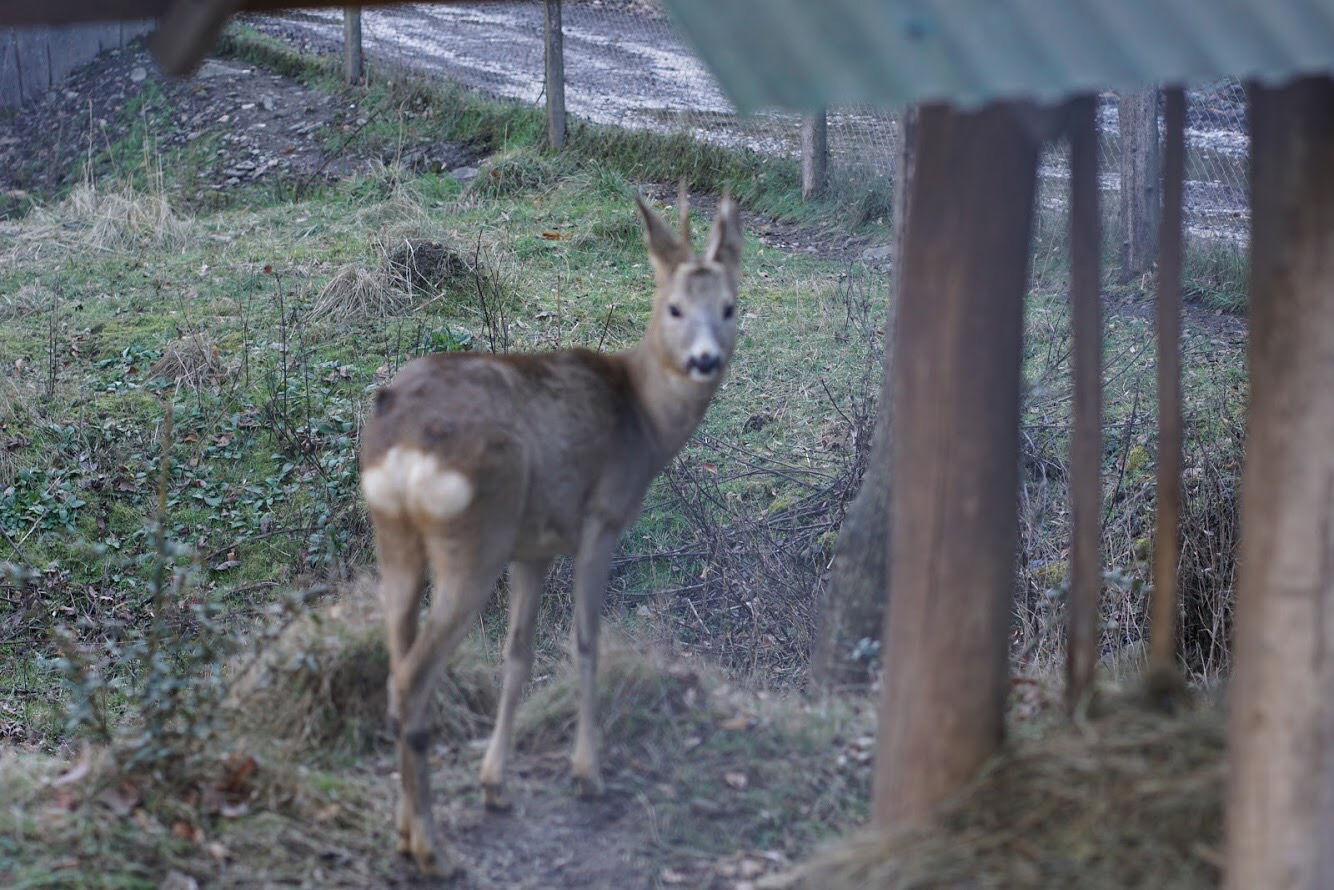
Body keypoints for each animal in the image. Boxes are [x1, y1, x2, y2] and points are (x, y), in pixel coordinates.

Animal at [360, 188, 747, 875]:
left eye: (729, 306)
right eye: (674, 306)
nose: (705, 360)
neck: (644, 421)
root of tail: (401, 439)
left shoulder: (533, 547)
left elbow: (519, 654)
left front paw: (496, 784)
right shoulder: (602, 518)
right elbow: (585, 641)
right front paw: (587, 774)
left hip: (397, 539)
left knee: (395, 664)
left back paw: (407, 830)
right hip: (473, 538)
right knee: (413, 678)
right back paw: (432, 847)